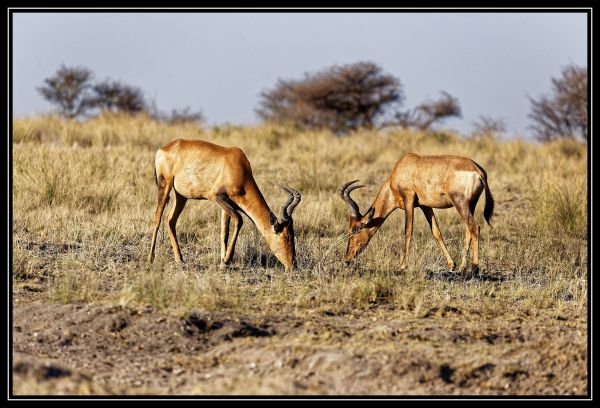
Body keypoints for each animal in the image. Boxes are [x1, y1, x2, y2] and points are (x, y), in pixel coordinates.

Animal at [148, 139, 302, 272]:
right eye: (287, 236)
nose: (292, 266)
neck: (238, 165)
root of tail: (163, 149)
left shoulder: (227, 204)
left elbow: (224, 231)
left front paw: (222, 263)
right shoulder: (218, 196)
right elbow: (239, 220)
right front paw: (227, 260)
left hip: (181, 195)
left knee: (170, 220)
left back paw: (180, 260)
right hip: (164, 185)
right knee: (157, 219)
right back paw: (150, 258)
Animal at [340, 153, 494, 274]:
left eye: (355, 229)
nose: (347, 259)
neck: (403, 166)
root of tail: (477, 169)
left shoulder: (408, 199)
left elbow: (408, 230)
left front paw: (403, 265)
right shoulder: (425, 206)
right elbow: (436, 232)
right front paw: (451, 265)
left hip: (460, 202)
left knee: (475, 228)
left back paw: (475, 269)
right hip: (470, 205)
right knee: (469, 231)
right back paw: (462, 268)